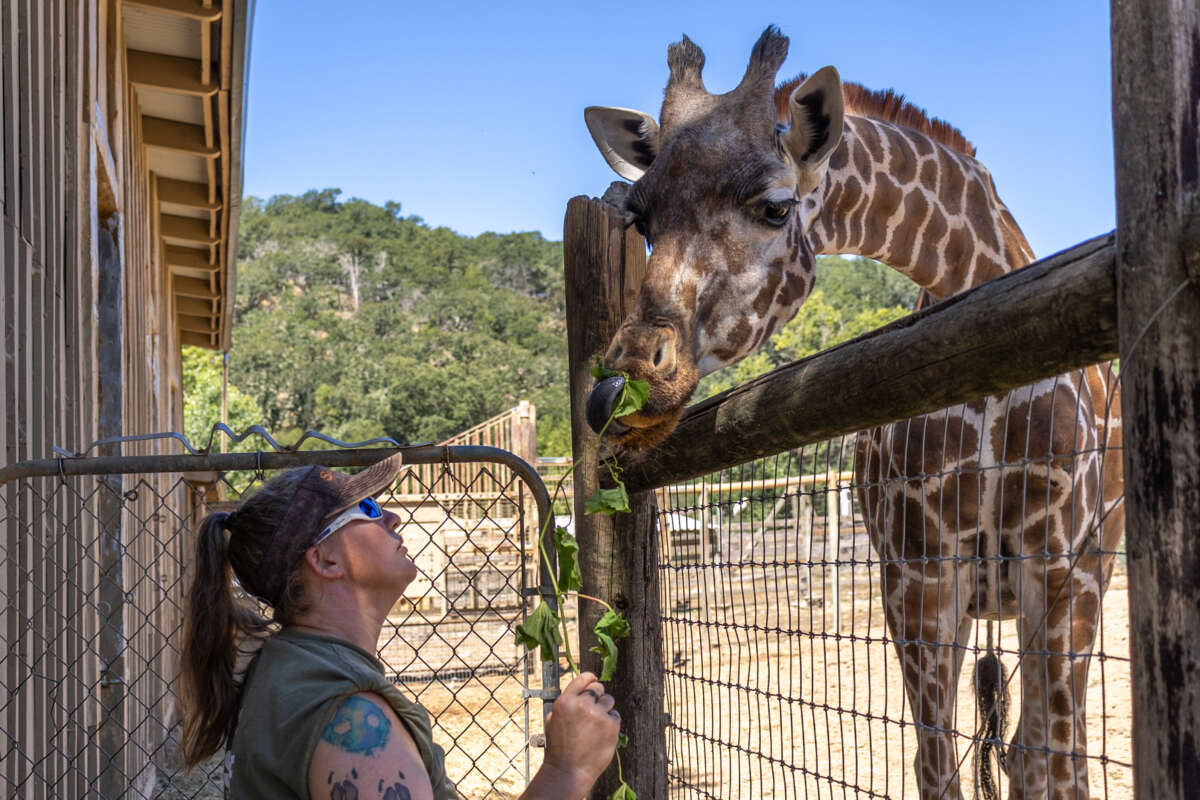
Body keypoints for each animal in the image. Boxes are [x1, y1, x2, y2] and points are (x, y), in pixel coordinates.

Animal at [582, 27, 1124, 800]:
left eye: (776, 206)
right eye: (641, 218)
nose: (618, 391)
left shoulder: (1062, 570)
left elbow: (1056, 762)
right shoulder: (917, 577)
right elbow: (936, 768)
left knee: (1042, 751)